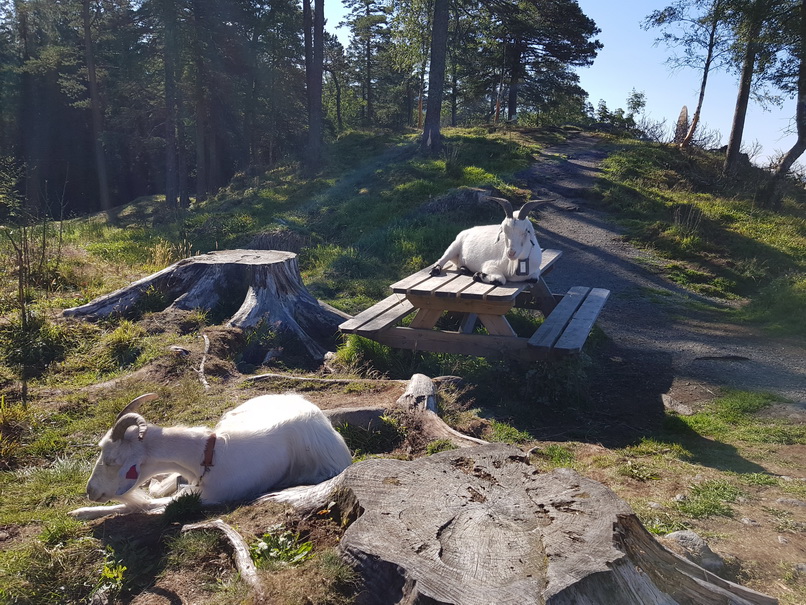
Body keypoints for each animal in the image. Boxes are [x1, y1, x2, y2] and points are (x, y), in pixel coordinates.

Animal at [66, 392, 350, 520]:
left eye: (111, 461)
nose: (90, 491)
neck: (209, 456)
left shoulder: (209, 498)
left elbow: (148, 505)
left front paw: (81, 512)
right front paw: (82, 511)